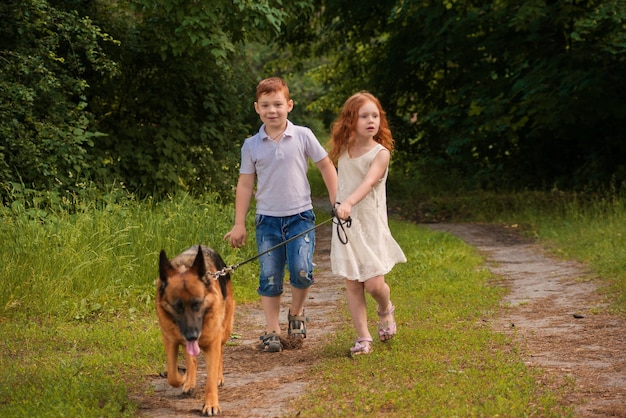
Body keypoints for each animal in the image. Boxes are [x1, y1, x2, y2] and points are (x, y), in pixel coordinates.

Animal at [156, 245, 234, 414]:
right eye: (177, 307)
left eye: (197, 304)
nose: (192, 336)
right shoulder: (170, 339)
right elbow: (172, 375)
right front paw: (183, 379)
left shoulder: (212, 342)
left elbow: (210, 377)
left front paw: (211, 404)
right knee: (191, 359)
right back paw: (189, 381)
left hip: (224, 332)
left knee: (220, 354)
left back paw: (219, 377)